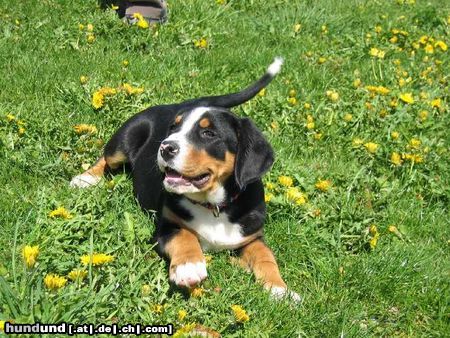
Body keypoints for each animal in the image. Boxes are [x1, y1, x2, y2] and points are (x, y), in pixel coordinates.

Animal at [72, 56, 300, 302]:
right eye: (173, 128)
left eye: (209, 134)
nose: (165, 147)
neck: (213, 206)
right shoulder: (166, 225)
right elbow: (184, 237)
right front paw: (189, 267)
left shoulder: (252, 236)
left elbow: (266, 256)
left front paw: (280, 289)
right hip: (125, 138)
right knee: (106, 158)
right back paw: (86, 179)